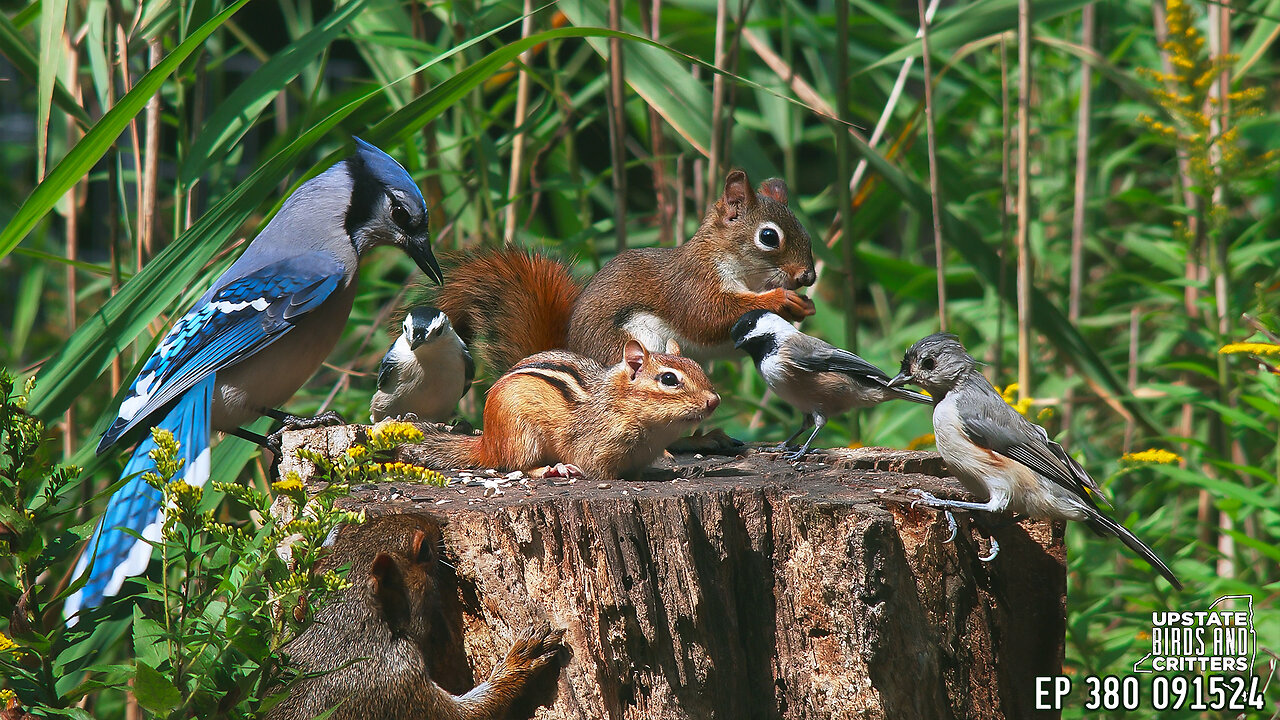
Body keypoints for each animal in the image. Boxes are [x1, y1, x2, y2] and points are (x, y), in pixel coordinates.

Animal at [399, 338, 721, 479]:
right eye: (669, 379)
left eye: (697, 367)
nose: (714, 400)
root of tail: (488, 442)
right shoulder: (596, 450)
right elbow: (603, 473)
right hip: (523, 436)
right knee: (519, 466)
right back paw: (553, 468)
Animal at [424, 166, 814, 368]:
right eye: (768, 237)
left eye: (806, 231)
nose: (807, 276)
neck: (748, 275)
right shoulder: (689, 285)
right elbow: (708, 316)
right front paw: (780, 298)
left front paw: (803, 305)